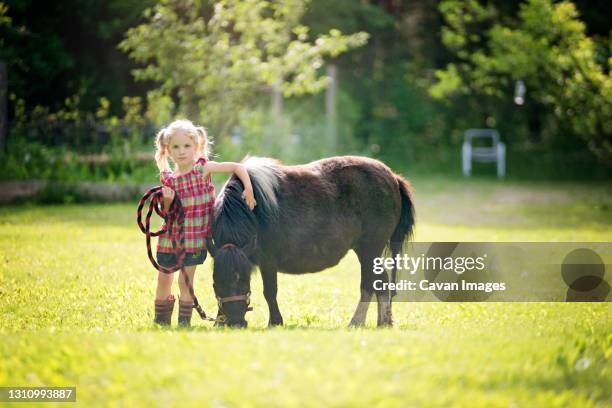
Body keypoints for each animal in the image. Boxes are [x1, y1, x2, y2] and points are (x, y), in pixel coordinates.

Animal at [207, 155, 416, 326]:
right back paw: (383, 321)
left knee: (370, 283)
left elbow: (270, 292)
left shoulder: (268, 261)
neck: (253, 211)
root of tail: (393, 178)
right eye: (216, 281)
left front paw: (275, 321)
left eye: (243, 279)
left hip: (369, 250)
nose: (234, 323)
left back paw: (358, 321)